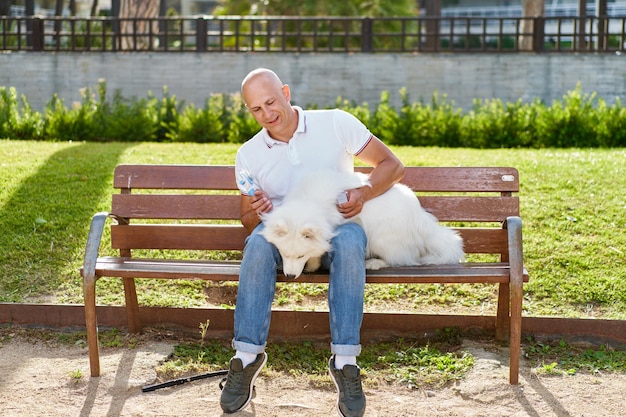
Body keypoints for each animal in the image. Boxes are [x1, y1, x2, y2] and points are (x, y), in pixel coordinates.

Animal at [258, 169, 464, 280]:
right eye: (284, 254)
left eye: (300, 255)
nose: (290, 276)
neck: (309, 200)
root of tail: (419, 216)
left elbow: (319, 247)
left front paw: (312, 264)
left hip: (381, 238)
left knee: (400, 259)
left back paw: (374, 263)